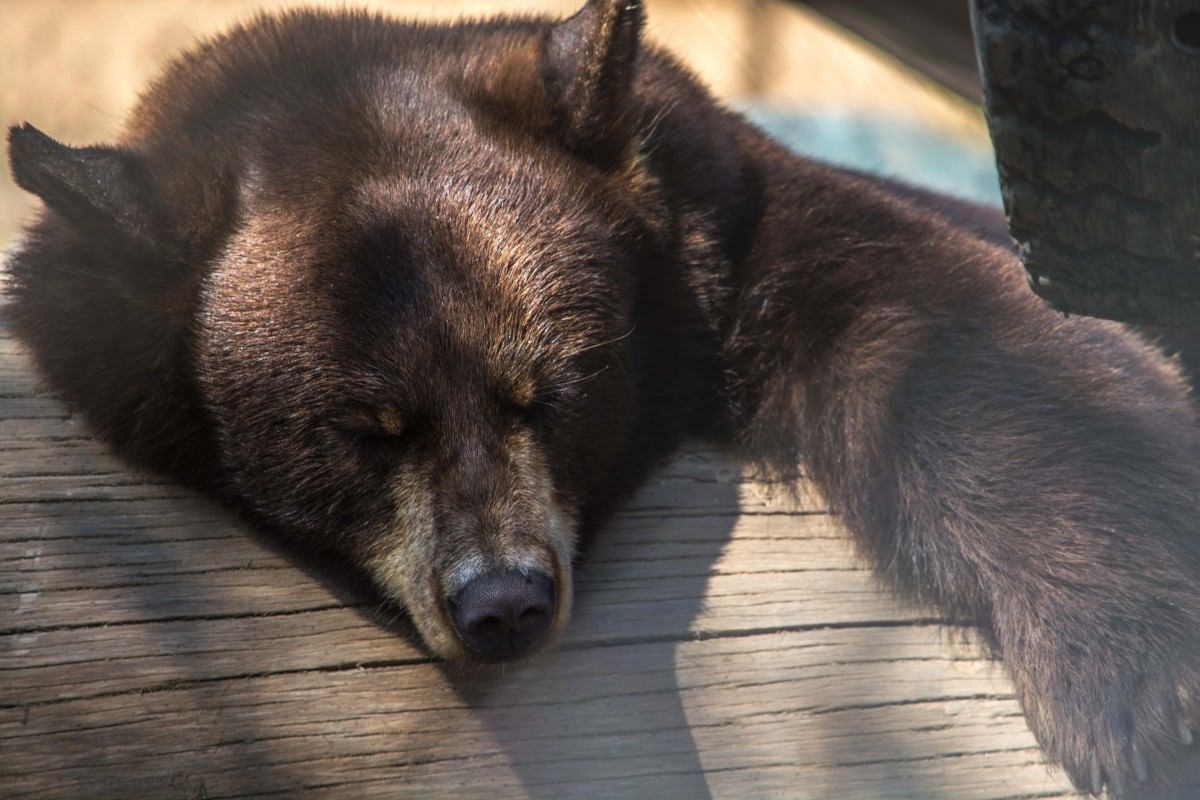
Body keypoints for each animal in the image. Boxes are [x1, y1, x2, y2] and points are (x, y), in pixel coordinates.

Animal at [7, 1, 1200, 796]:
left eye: (549, 388)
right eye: (364, 429)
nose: (504, 602)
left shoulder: (727, 226)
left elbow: (954, 329)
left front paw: (1148, 685)